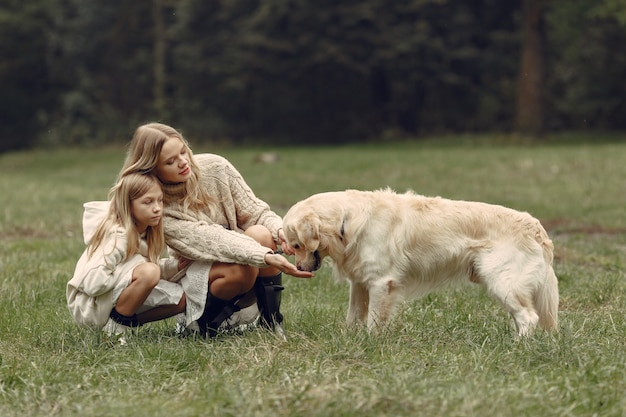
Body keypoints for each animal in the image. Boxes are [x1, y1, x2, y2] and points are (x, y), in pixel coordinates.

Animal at [282, 188, 556, 334]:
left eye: (296, 245)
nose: (299, 267)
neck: (346, 221)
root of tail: (537, 228)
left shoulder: (381, 283)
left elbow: (373, 321)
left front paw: (370, 341)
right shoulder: (360, 283)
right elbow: (354, 316)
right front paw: (349, 337)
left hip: (503, 281)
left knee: (529, 317)